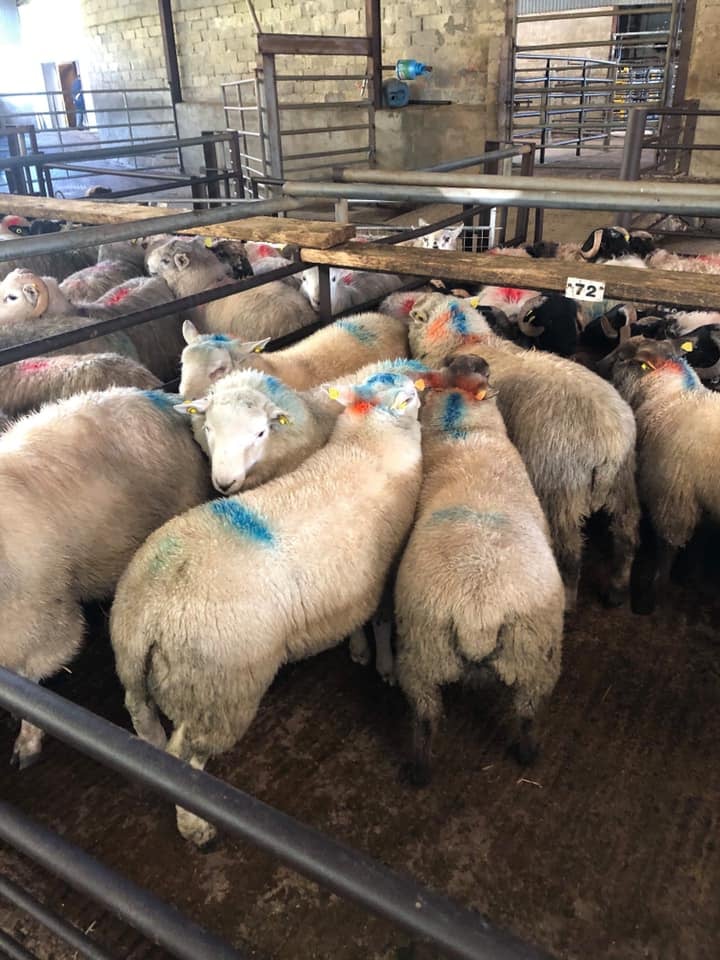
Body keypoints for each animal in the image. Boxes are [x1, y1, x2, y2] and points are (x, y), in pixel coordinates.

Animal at [110, 370, 424, 846]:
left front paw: (357, 649)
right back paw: (195, 825)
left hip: (141, 673)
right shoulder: (386, 572)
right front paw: (385, 664)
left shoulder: (354, 586)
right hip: (218, 691)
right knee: (185, 757)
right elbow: (383, 622)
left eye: (260, 433)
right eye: (408, 396)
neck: (368, 445)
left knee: (146, 727)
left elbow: (354, 619)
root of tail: (148, 610)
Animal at [382, 291, 640, 608]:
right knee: (627, 533)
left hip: (560, 490)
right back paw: (617, 588)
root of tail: (608, 445)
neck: (464, 340)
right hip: (624, 481)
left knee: (570, 553)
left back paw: (569, 599)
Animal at [395, 355, 564, 785]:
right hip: (535, 655)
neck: (462, 432)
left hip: (421, 653)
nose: (476, 360)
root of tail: (478, 612)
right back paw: (528, 754)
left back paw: (419, 771)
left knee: (424, 718)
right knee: (527, 713)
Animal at [598, 337, 720, 610]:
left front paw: (652, 595)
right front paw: (689, 576)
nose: (596, 365)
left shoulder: (673, 497)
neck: (670, 397)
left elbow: (667, 548)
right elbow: (700, 542)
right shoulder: (696, 495)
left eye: (621, 357)